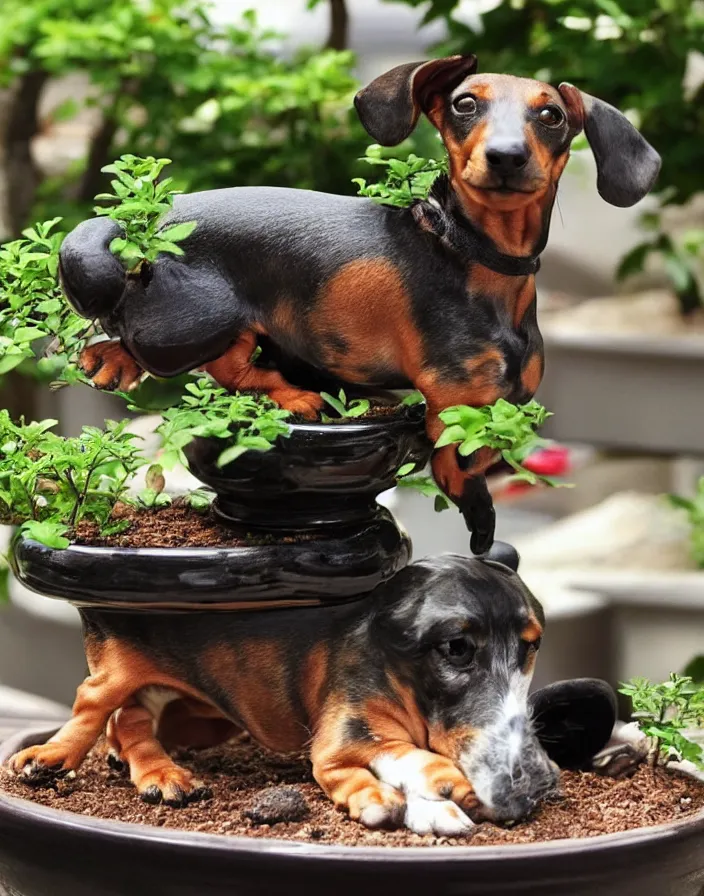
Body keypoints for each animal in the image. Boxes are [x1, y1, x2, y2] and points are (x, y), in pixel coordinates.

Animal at [8, 548, 560, 836]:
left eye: (533, 645)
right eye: (457, 647)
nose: (539, 785)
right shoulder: (344, 740)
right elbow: (393, 758)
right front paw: (431, 788)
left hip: (201, 713)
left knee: (130, 720)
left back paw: (153, 772)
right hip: (117, 671)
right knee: (94, 706)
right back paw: (54, 759)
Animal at [59, 54, 660, 552]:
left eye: (552, 115)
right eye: (465, 103)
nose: (506, 157)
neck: (469, 252)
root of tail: (145, 224)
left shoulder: (503, 405)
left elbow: (484, 457)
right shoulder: (456, 407)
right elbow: (456, 461)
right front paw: (475, 511)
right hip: (197, 324)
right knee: (166, 346)